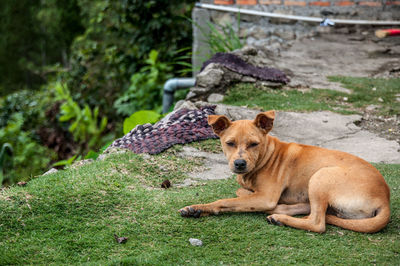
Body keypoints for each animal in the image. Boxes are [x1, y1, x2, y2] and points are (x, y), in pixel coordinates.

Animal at [179, 110, 390, 233]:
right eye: (230, 143)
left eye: (254, 144)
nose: (239, 164)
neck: (267, 156)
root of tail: (385, 200)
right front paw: (196, 209)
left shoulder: (266, 196)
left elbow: (227, 200)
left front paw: (201, 207)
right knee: (306, 209)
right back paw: (279, 212)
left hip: (321, 176)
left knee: (317, 223)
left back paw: (279, 217)